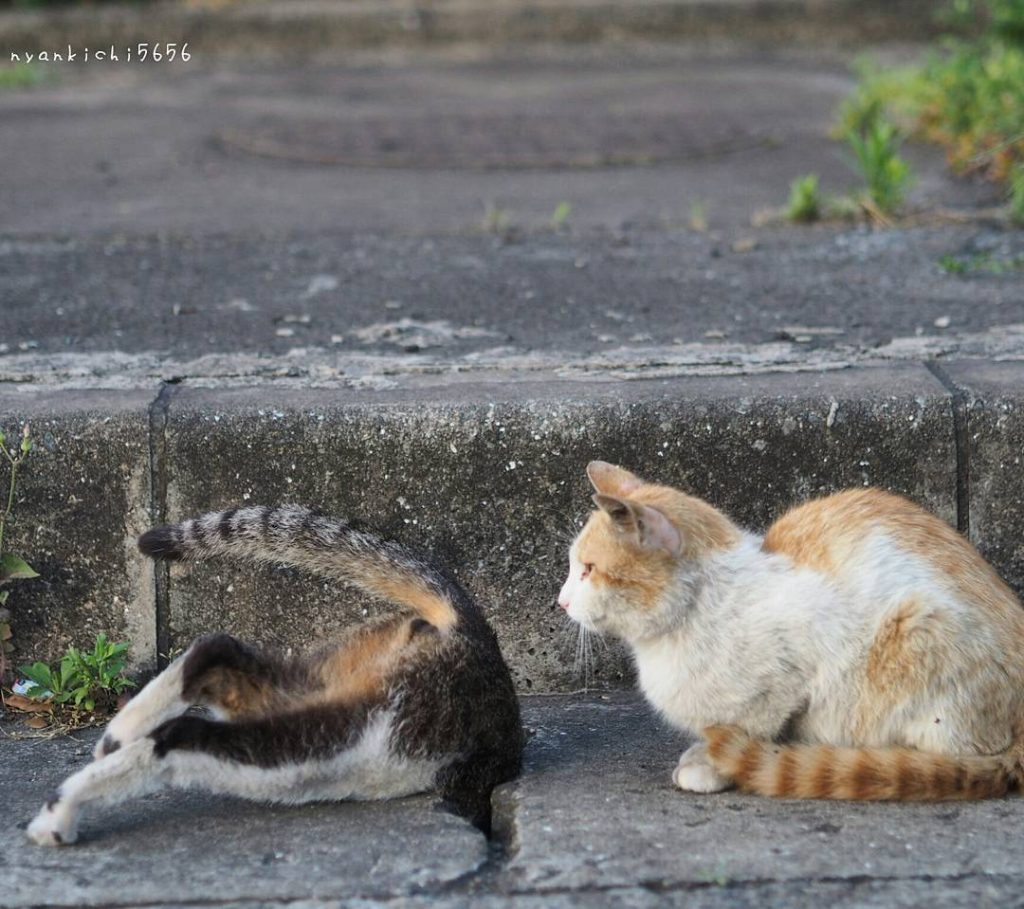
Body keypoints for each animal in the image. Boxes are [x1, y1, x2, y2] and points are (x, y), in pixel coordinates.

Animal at [28, 503, 524, 843]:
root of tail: (478, 633)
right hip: (339, 728)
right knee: (182, 732)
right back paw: (62, 810)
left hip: (319, 681)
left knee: (214, 650)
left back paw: (117, 734)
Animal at [561, 464, 1024, 798]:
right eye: (573, 566)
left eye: (588, 570)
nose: (562, 601)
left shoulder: (789, 677)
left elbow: (751, 727)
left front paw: (715, 765)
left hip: (917, 628)